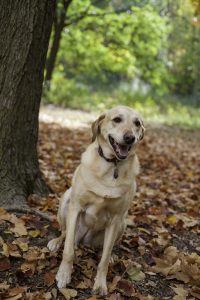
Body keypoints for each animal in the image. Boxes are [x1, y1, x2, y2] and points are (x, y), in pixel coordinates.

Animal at [47, 106, 145, 296]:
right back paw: (56, 242)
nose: (130, 138)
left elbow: (104, 260)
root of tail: (85, 242)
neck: (112, 165)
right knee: (65, 233)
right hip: (66, 200)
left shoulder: (115, 219)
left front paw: (100, 284)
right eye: (117, 119)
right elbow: (68, 251)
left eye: (137, 123)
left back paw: (111, 254)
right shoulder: (76, 207)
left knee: (104, 249)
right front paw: (64, 274)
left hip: (123, 223)